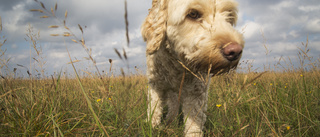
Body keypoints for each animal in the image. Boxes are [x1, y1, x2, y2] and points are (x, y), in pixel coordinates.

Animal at [141, 0, 244, 136]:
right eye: (193, 14)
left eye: (229, 16)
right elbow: (154, 109)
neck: (177, 64)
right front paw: (152, 127)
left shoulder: (196, 91)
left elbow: (194, 124)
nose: (235, 51)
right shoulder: (155, 85)